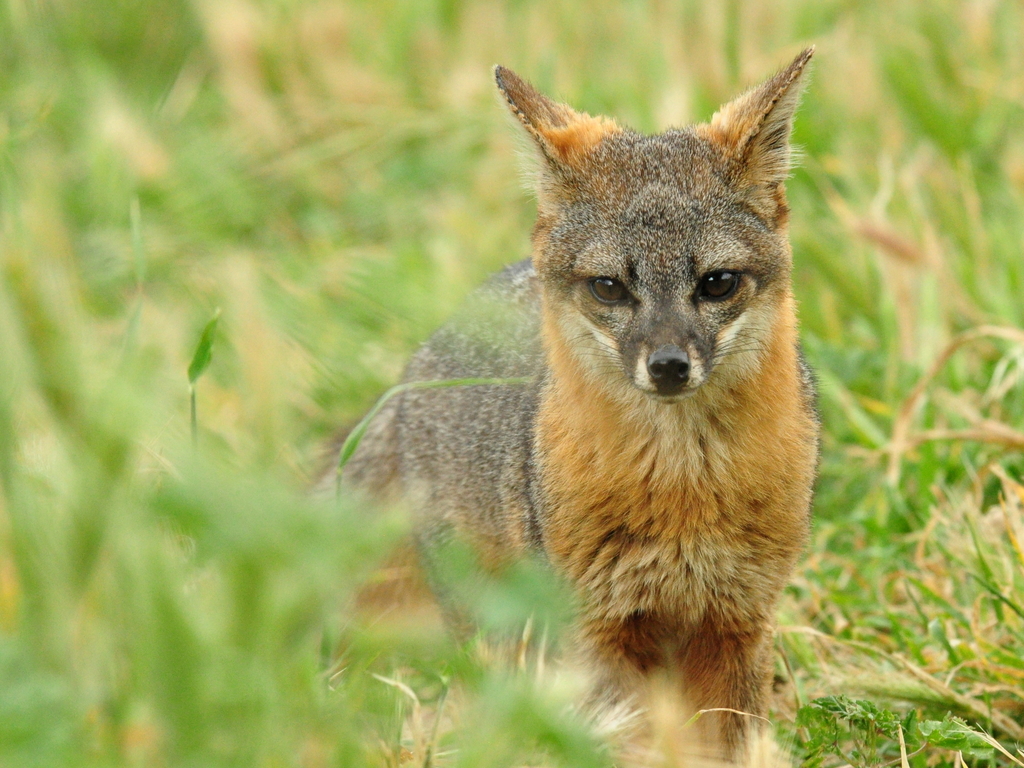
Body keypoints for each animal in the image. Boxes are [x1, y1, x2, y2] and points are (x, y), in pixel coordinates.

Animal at [337, 48, 820, 760]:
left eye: (717, 283)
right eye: (609, 287)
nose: (668, 365)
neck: (684, 492)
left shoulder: (736, 622)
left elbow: (728, 747)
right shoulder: (602, 631)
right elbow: (633, 744)